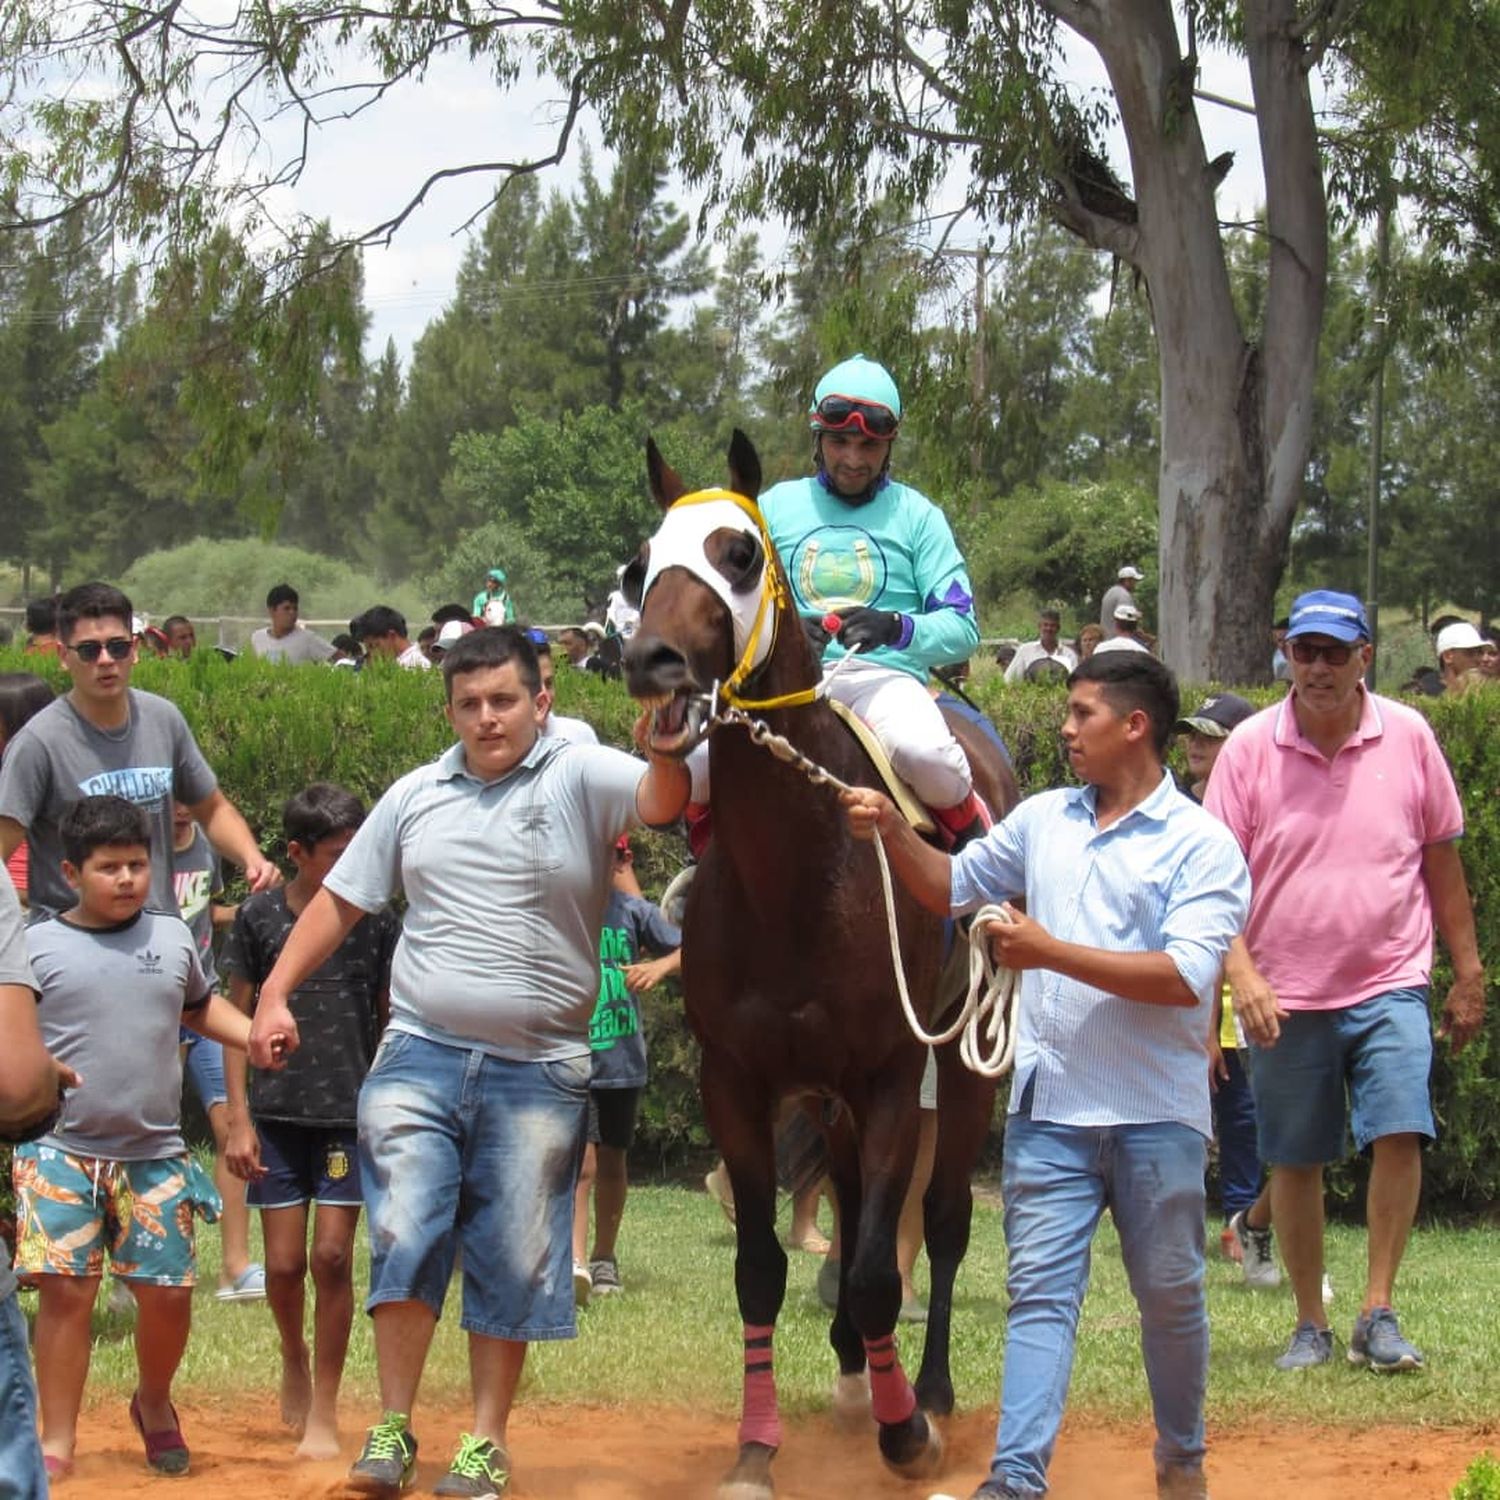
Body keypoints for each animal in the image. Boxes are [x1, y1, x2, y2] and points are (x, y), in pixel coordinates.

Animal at [621, 429, 1020, 1494]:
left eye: (738, 553)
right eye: (644, 562)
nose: (649, 660)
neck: (800, 872)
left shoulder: (889, 1077)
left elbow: (886, 1266)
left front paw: (906, 1432)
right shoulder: (739, 1080)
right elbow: (762, 1266)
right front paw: (758, 1447)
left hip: (961, 1068)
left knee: (946, 1221)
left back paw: (927, 1391)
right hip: (830, 1094)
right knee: (842, 1199)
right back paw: (852, 1375)